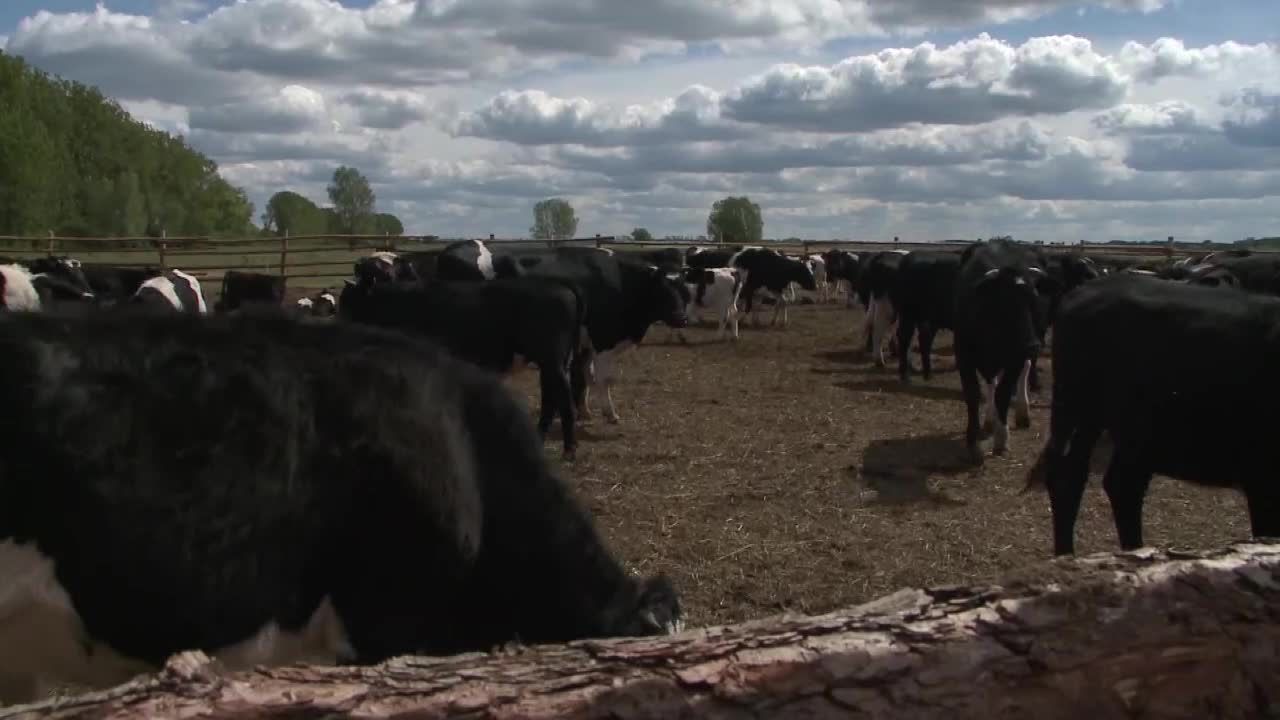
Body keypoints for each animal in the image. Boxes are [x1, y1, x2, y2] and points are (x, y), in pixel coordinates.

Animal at [335, 271, 586, 456]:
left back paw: (569, 450)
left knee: (563, 399)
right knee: (550, 398)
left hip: (552, 359)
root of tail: (558, 284)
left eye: (351, 304)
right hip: (550, 361)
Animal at [890, 249, 962, 381]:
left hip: (926, 317)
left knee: (923, 339)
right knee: (906, 337)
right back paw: (905, 374)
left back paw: (926, 373)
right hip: (910, 314)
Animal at [952, 238, 1049, 461]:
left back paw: (1022, 413)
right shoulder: (963, 354)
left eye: (1033, 300)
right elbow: (973, 393)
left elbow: (1003, 394)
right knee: (991, 382)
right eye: (1006, 302)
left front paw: (1002, 439)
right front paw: (973, 442)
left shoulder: (1015, 358)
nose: (1033, 344)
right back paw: (990, 420)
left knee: (1023, 372)